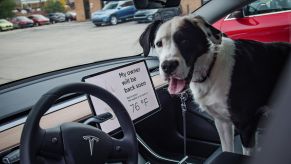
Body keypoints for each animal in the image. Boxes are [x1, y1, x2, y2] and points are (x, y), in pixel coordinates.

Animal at [139, 16, 291, 156]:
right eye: (159, 44)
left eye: (184, 41)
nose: (168, 66)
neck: (210, 67)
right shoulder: (222, 122)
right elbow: (227, 149)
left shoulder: (246, 125)